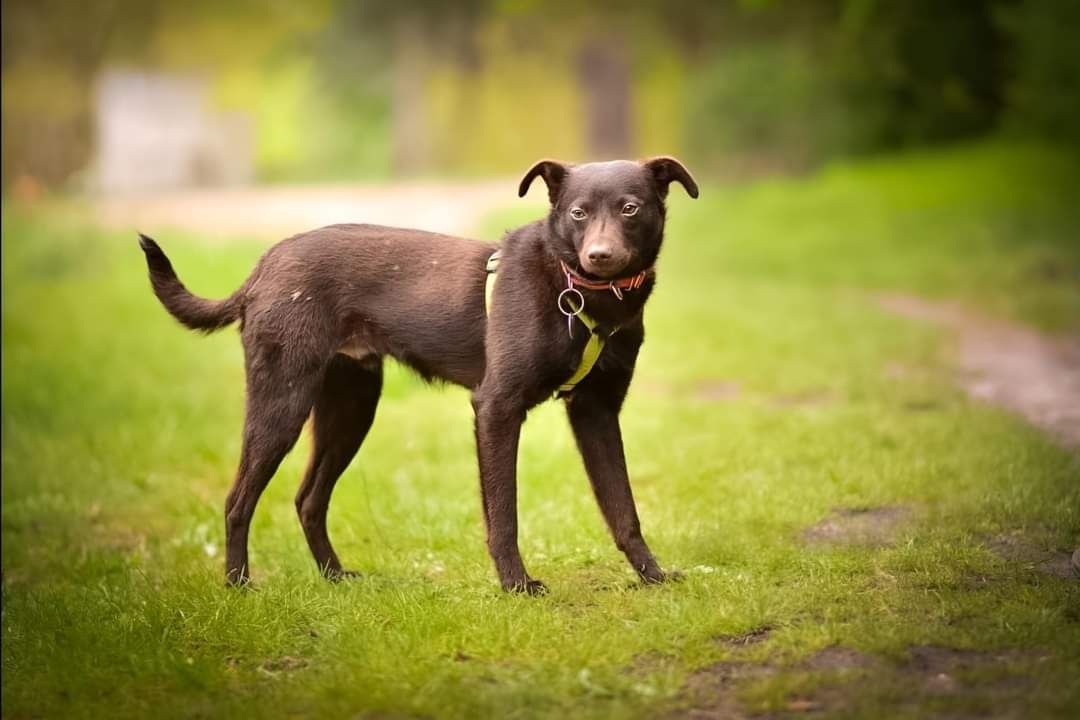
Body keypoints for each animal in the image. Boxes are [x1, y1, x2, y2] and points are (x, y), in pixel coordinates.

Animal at [139, 156, 695, 591]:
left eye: (629, 208)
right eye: (578, 213)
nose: (599, 256)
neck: (577, 289)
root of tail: (264, 265)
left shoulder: (597, 413)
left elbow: (623, 509)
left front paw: (652, 576)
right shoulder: (496, 408)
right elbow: (504, 514)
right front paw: (515, 584)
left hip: (350, 409)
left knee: (308, 499)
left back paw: (334, 577)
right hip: (282, 403)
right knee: (238, 500)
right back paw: (238, 584)